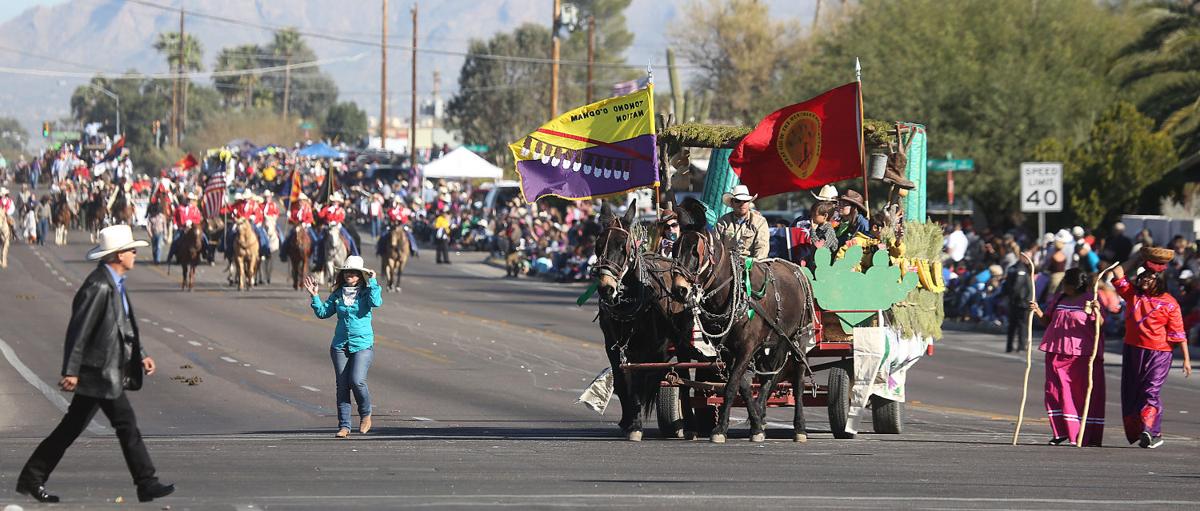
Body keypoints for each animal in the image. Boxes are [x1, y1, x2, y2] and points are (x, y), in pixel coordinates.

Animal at [672, 199, 820, 443]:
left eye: (696, 251)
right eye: (675, 249)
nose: (679, 289)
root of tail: (797, 269)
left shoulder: (748, 347)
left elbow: (731, 385)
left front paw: (720, 429)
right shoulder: (730, 350)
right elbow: (742, 384)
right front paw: (757, 424)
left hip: (798, 337)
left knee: (797, 379)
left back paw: (799, 428)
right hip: (776, 342)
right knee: (773, 375)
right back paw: (761, 411)